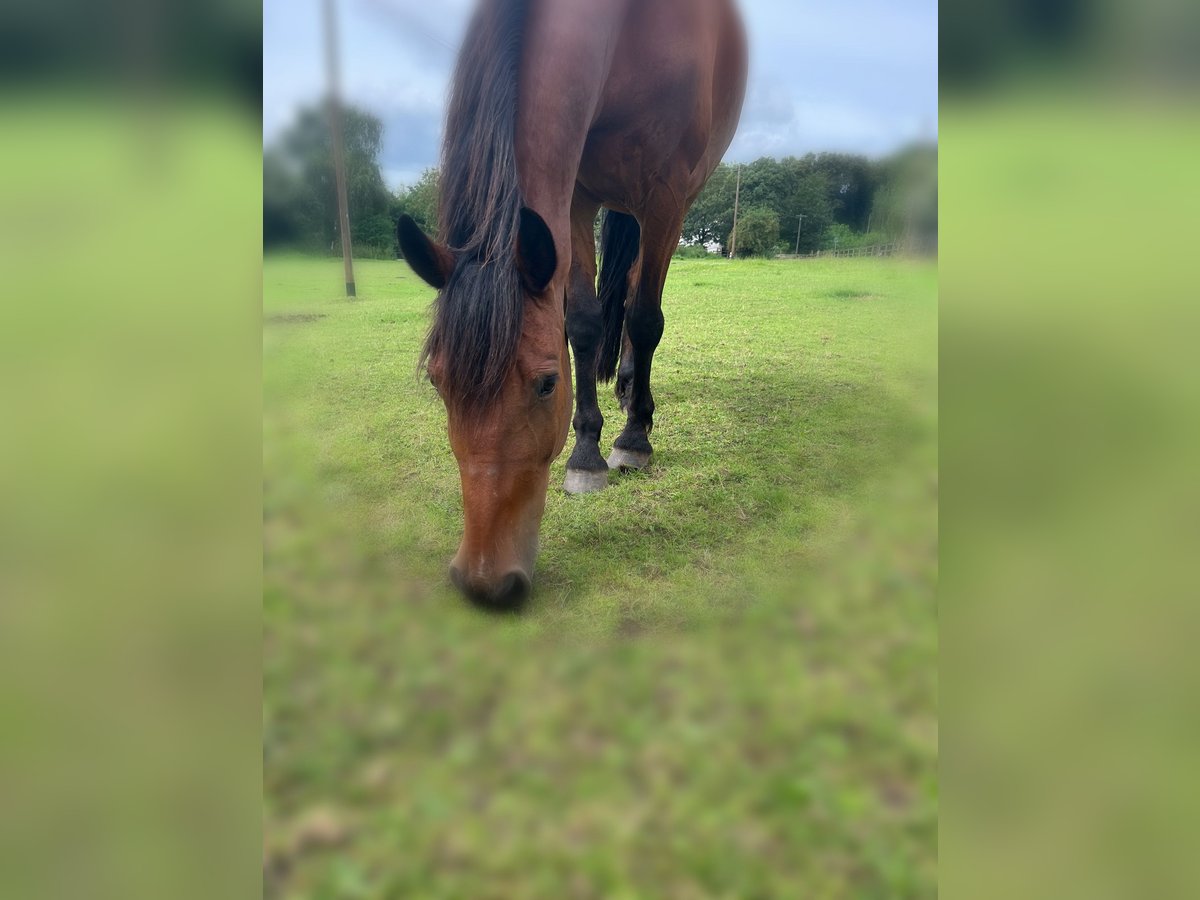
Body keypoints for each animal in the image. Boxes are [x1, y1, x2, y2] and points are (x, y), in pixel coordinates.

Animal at [398, 0, 744, 609]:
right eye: (438, 382)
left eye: (546, 384)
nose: (485, 580)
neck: (632, 31)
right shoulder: (578, 194)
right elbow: (582, 321)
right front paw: (587, 453)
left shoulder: (667, 194)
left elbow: (645, 318)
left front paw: (631, 442)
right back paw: (627, 389)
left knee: (640, 298)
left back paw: (636, 411)